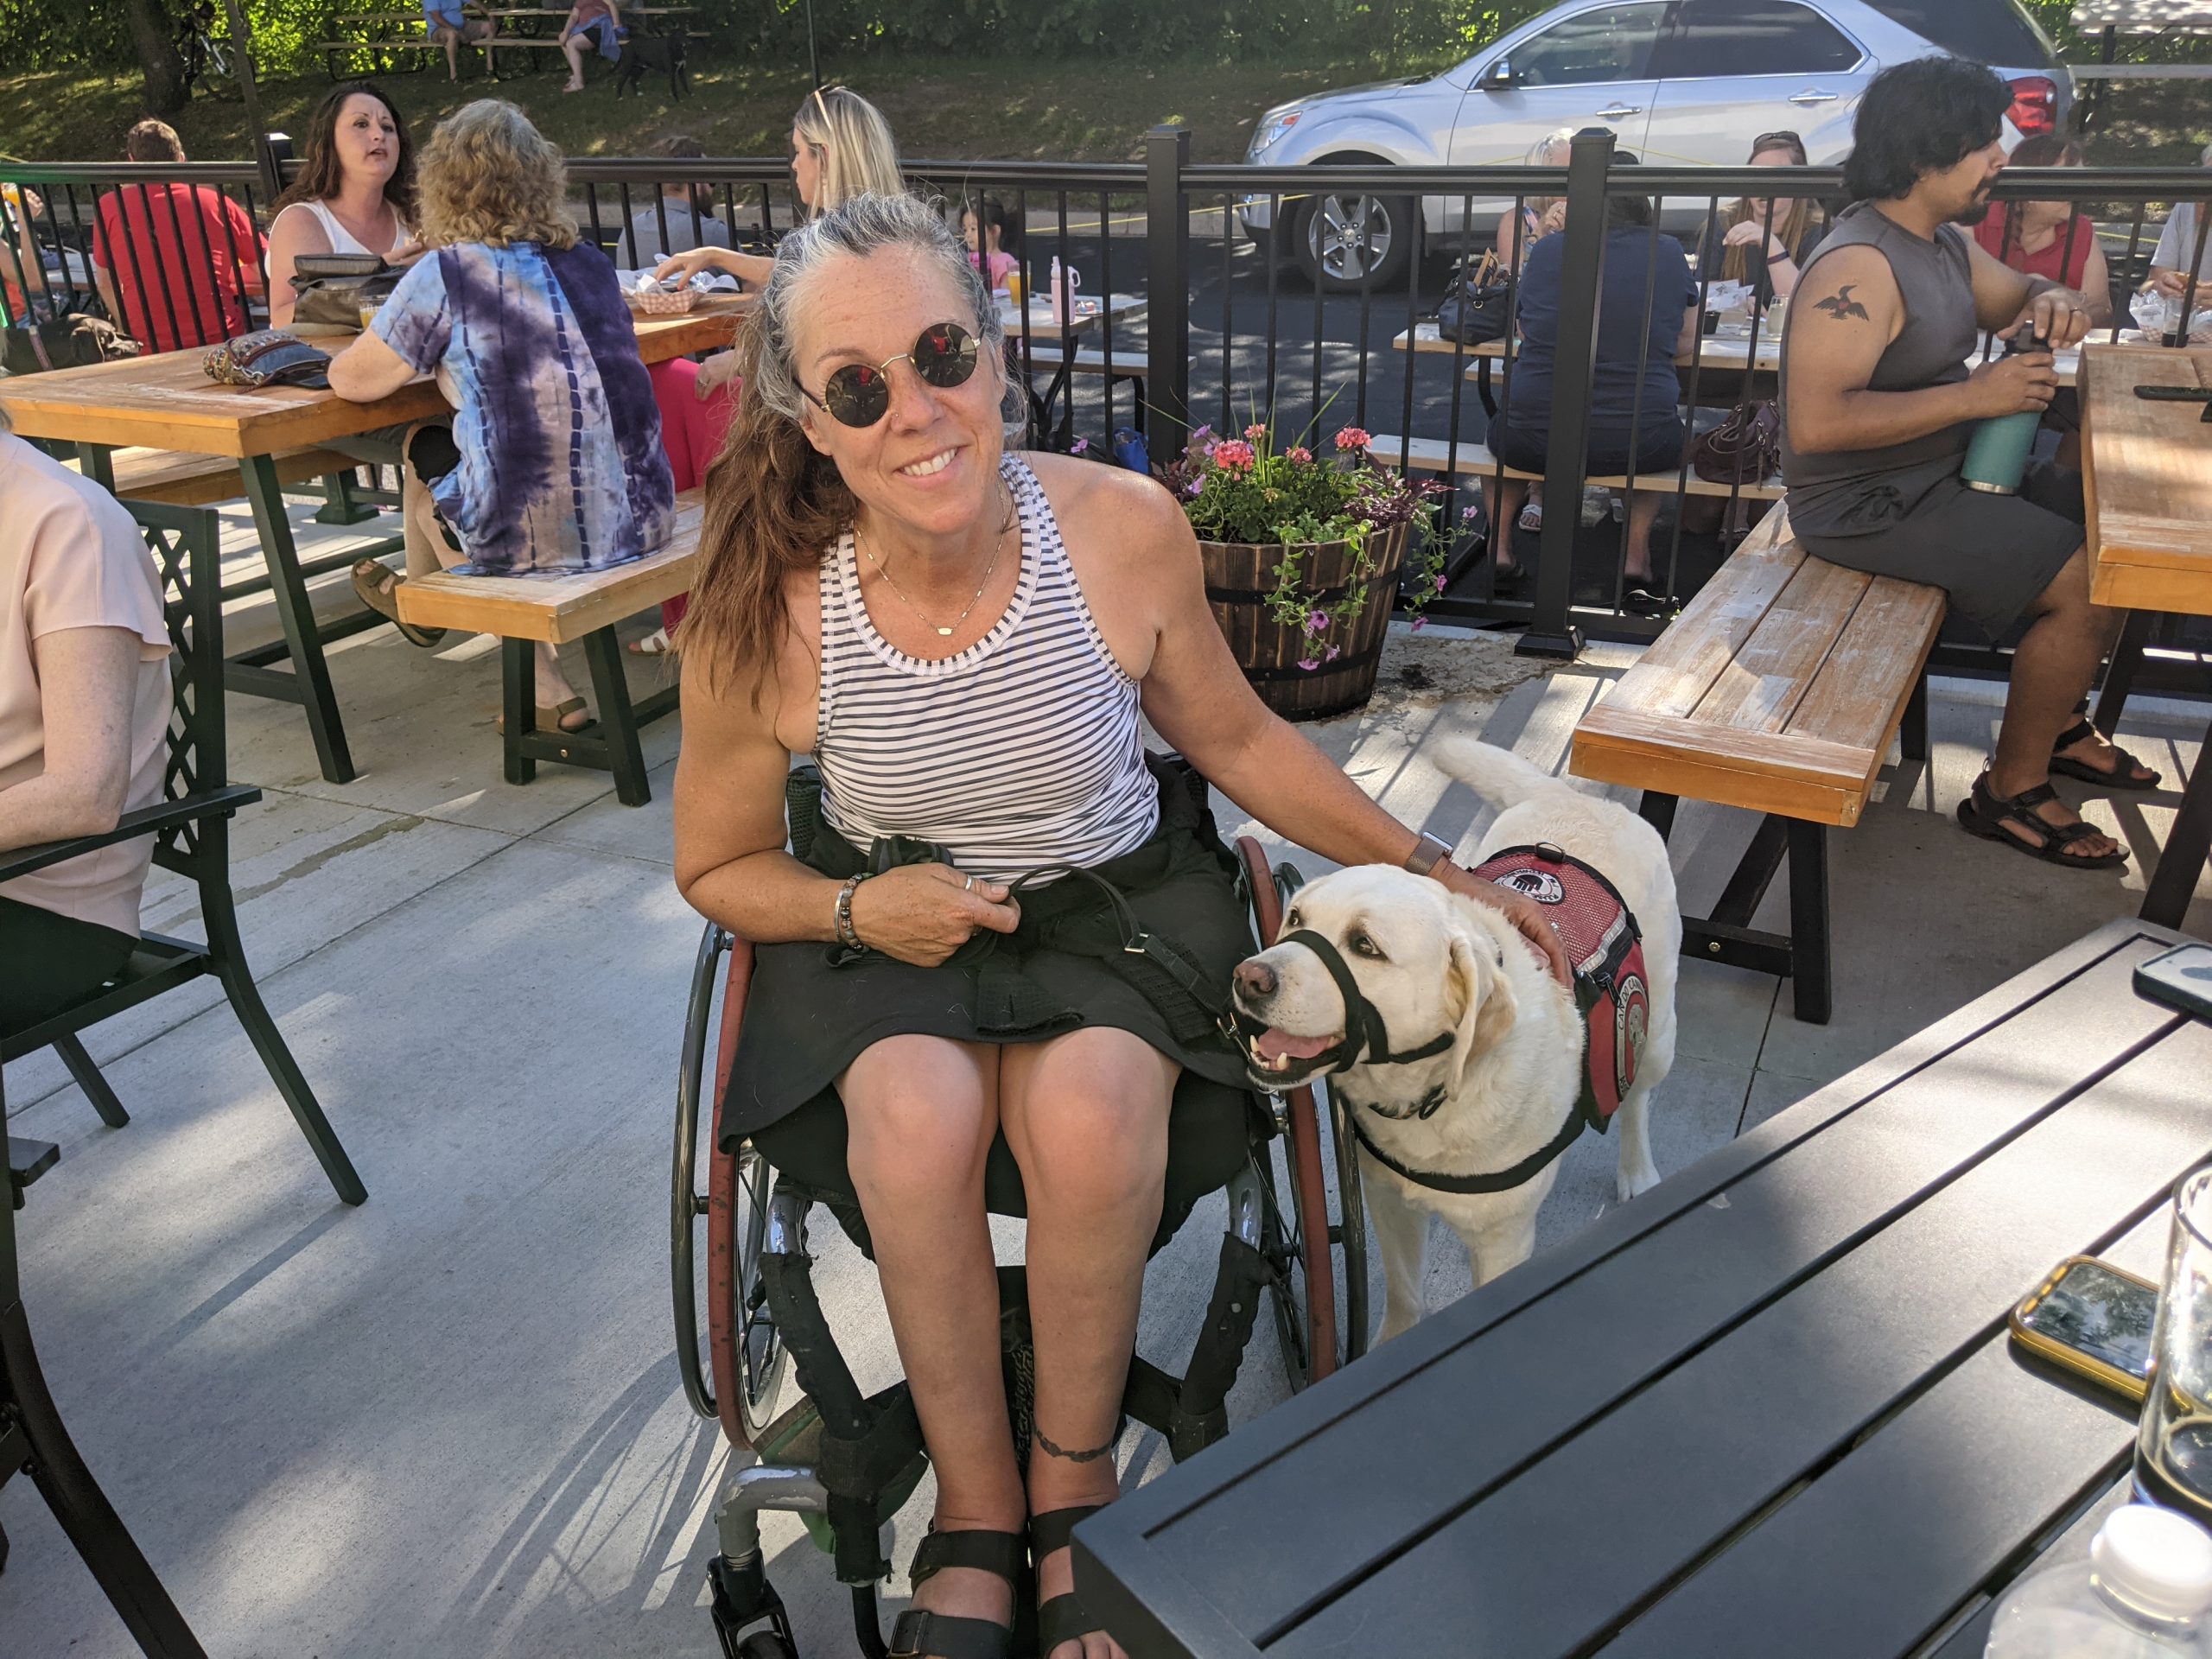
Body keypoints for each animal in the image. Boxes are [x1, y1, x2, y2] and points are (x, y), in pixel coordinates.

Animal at [1230, 739, 1672, 1336]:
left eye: (1365, 945)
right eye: (1295, 917)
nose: (1246, 978)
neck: (1428, 1097)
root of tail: (1575, 797)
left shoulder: (1504, 1241)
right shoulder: (1388, 1203)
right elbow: (1405, 1295)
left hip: (1656, 1034)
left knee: (1639, 1098)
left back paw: (1639, 1171)